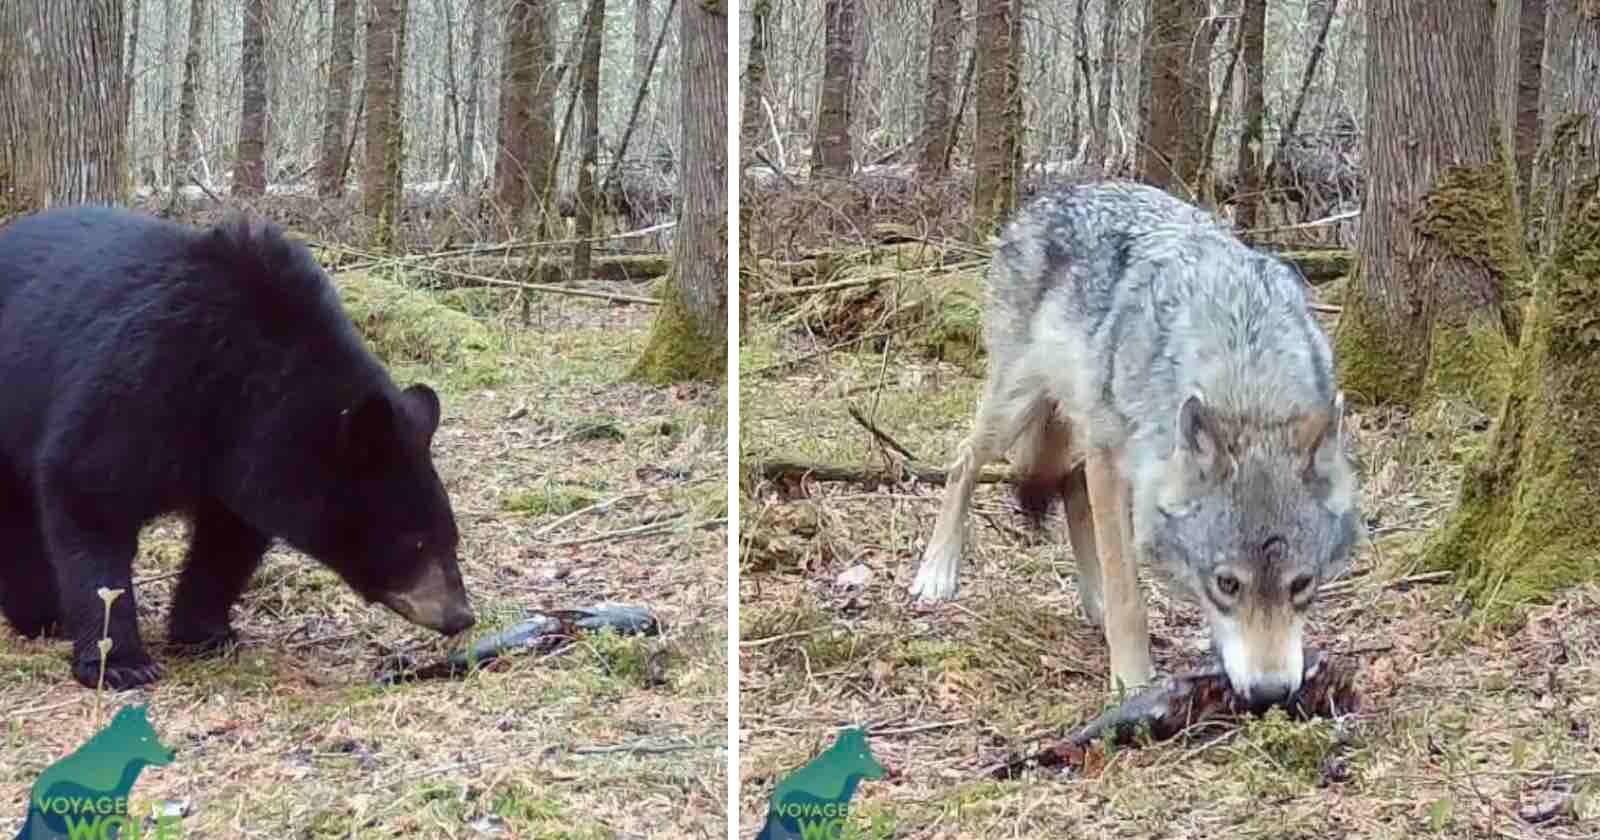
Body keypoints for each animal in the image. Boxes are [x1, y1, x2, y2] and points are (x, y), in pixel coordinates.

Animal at [0, 206, 476, 690]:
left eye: (451, 535)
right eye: (414, 541)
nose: (460, 616)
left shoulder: (242, 457)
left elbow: (227, 540)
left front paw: (204, 633)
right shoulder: (140, 385)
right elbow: (91, 497)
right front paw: (120, 661)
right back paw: (42, 613)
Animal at [911, 181, 1360, 710]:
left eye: (1302, 583)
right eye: (1227, 583)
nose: (1270, 693)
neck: (1246, 376)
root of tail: (1056, 192)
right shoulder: (1111, 460)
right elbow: (1128, 593)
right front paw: (1131, 682)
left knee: (1069, 485)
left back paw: (1092, 602)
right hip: (1017, 407)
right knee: (963, 462)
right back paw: (937, 571)